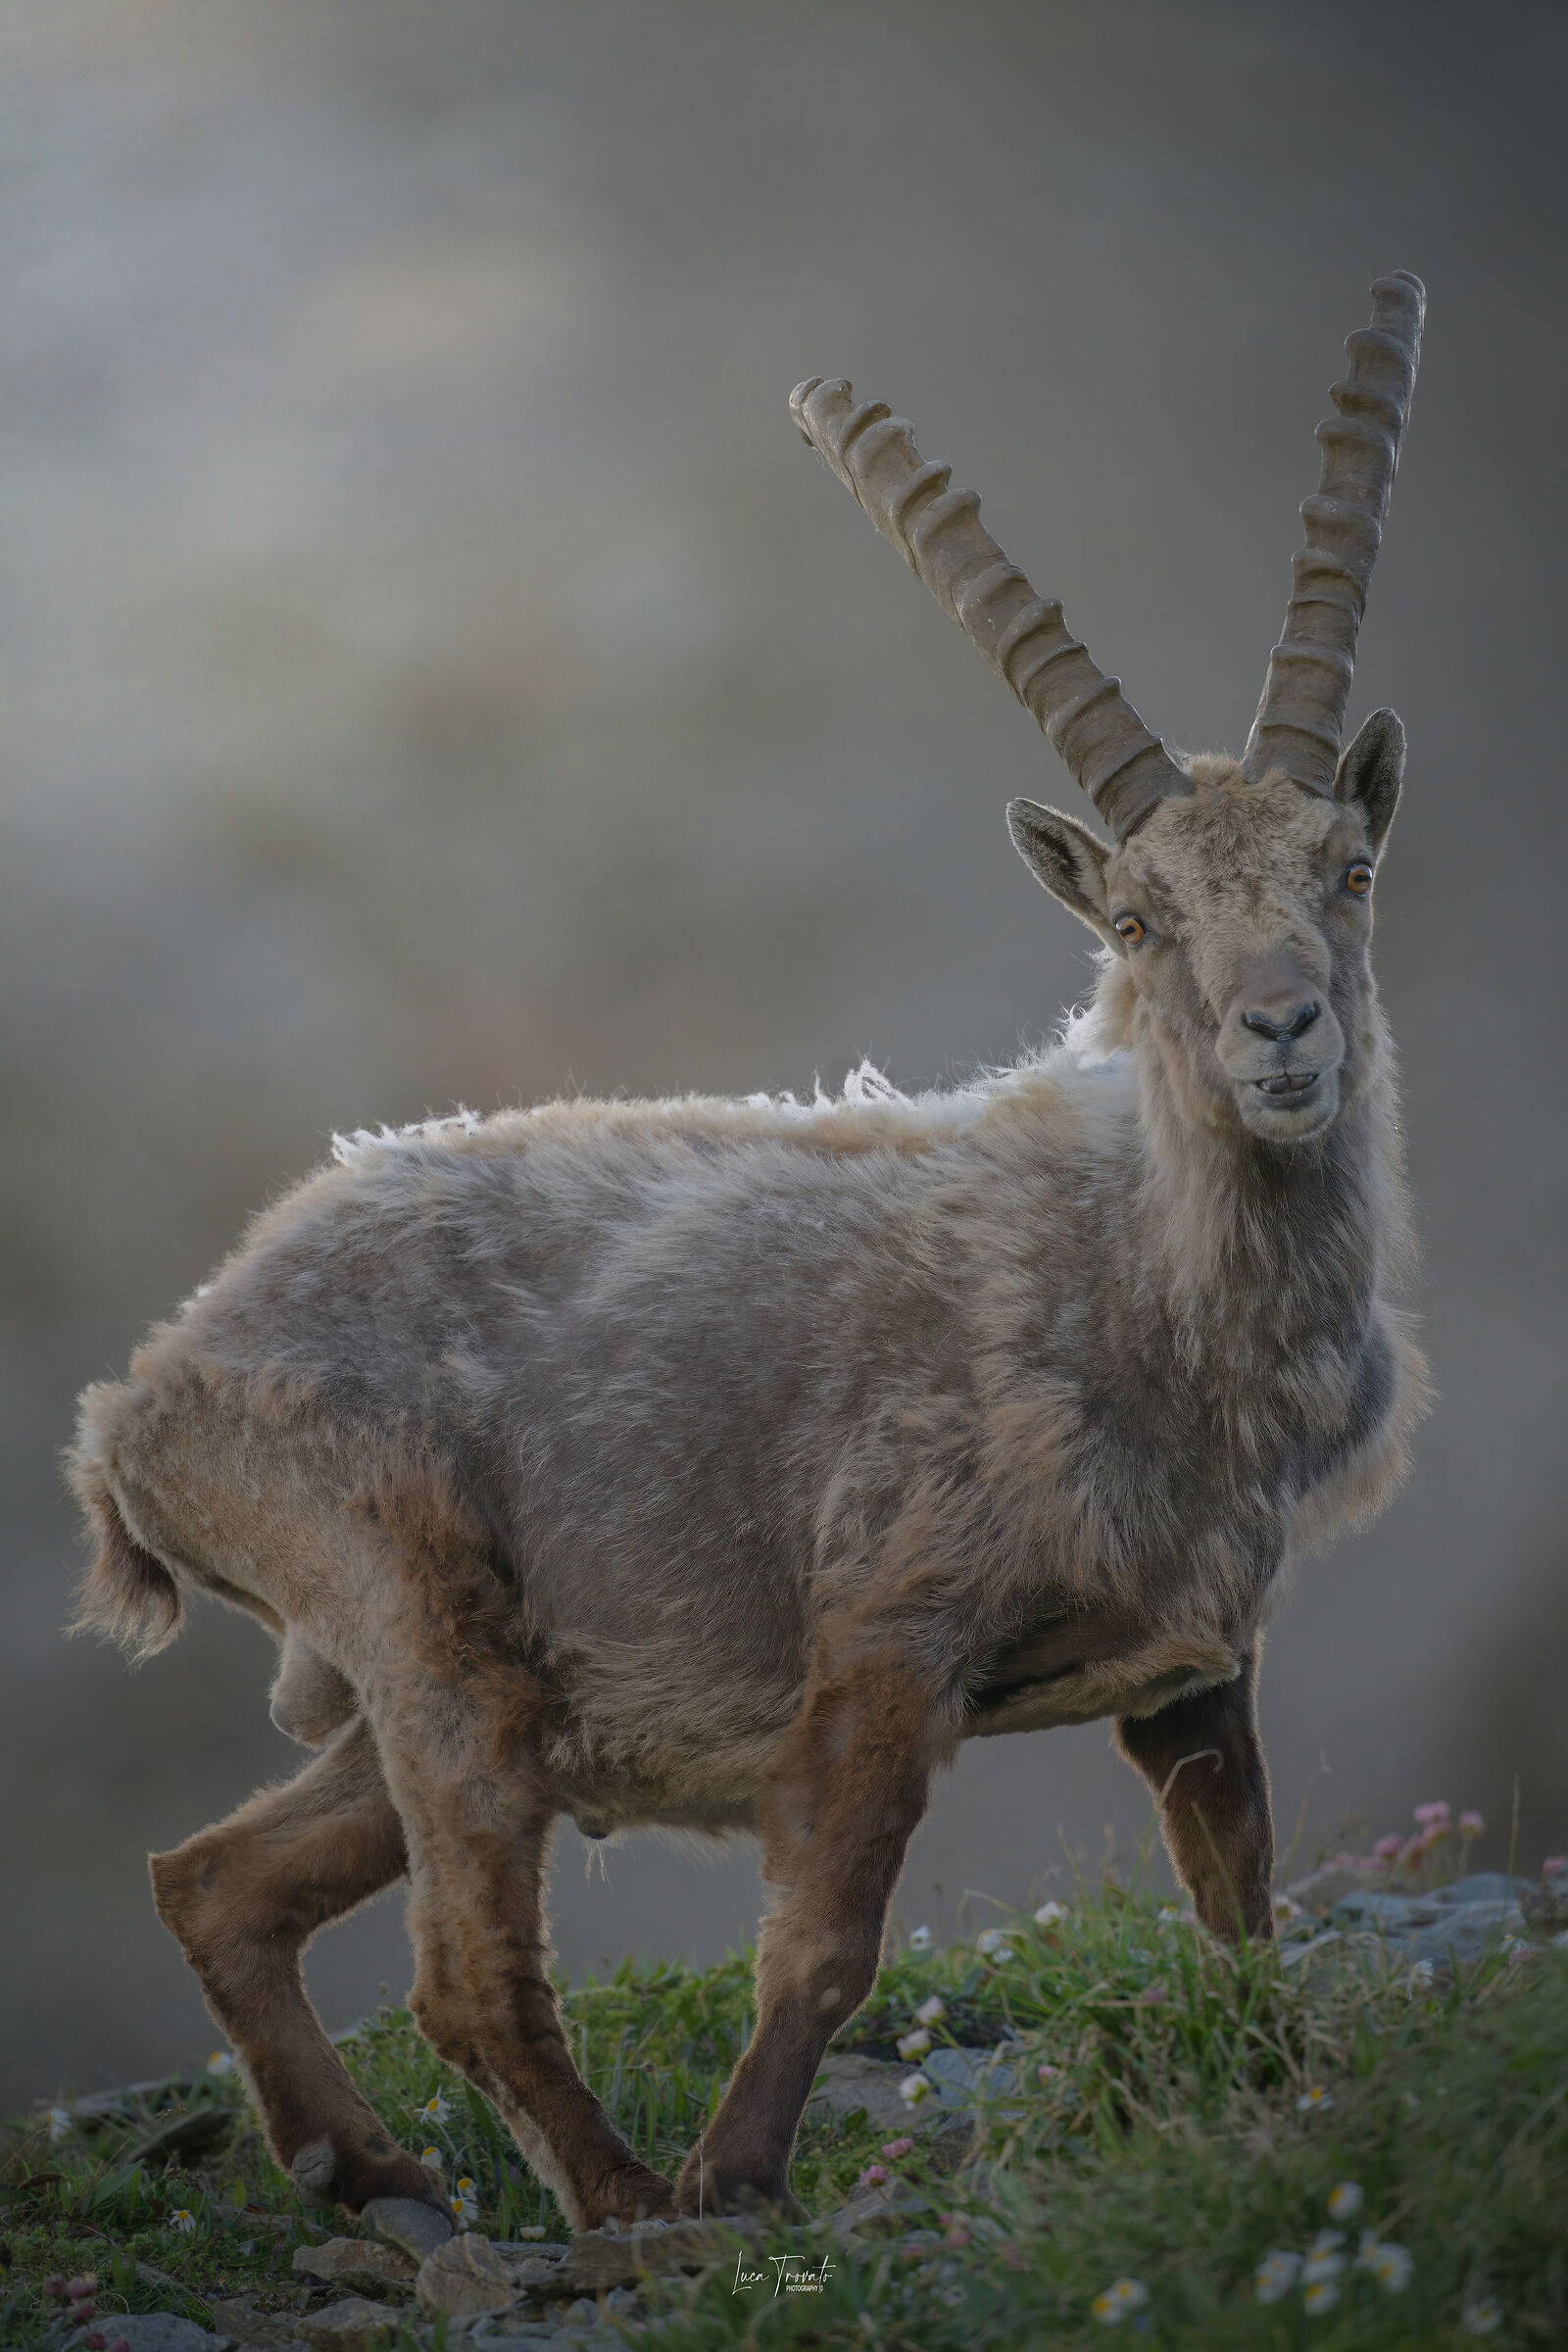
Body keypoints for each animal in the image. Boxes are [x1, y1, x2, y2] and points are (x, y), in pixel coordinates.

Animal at [69, 273, 1427, 2242]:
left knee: (218, 1877)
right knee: (462, 1974)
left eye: (1350, 866)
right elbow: (826, 1944)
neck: (1144, 1290)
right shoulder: (885, 1636)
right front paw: (741, 2180)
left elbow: (1238, 1893)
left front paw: (1274, 2081)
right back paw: (627, 2210)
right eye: (1134, 915)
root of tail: (148, 1398)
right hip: (420, 1622)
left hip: (467, 1698)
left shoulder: (1194, 1665)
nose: (1282, 1030)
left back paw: (368, 2169)